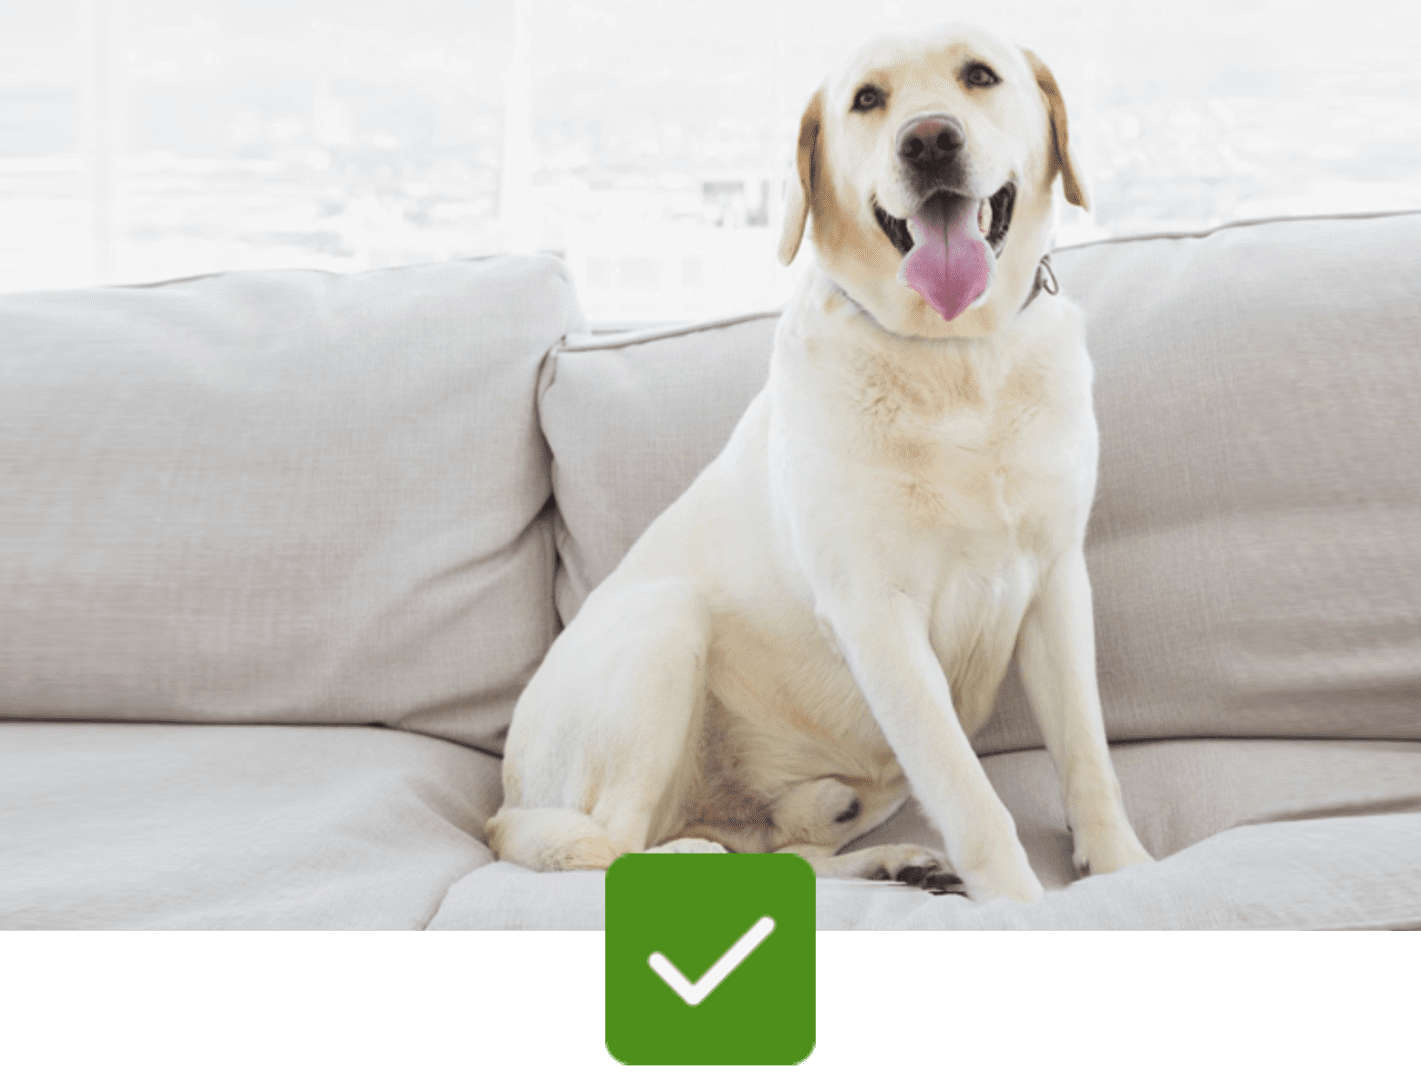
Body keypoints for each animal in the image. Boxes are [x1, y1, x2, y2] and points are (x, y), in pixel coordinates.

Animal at [488, 23, 1153, 903]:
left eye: (978, 76)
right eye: (866, 99)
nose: (928, 140)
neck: (954, 358)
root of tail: (501, 808)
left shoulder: (1054, 586)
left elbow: (1087, 755)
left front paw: (1122, 870)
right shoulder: (875, 616)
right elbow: (969, 793)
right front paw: (1017, 902)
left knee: (783, 855)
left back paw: (891, 862)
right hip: (663, 624)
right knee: (619, 848)